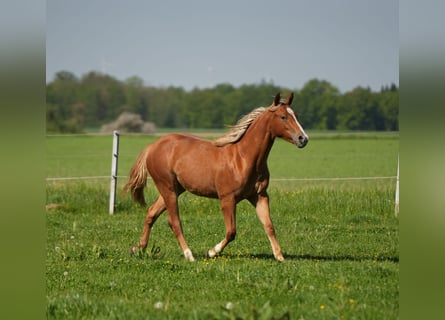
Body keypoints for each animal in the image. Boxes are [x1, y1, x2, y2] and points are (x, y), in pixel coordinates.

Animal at [123, 91, 306, 262]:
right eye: (283, 117)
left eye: (296, 115)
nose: (303, 139)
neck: (243, 158)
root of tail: (153, 146)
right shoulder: (227, 199)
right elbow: (231, 231)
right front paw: (211, 252)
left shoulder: (259, 196)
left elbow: (269, 226)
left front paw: (280, 256)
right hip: (167, 188)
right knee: (174, 221)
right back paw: (189, 255)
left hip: (175, 189)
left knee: (151, 212)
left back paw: (137, 248)